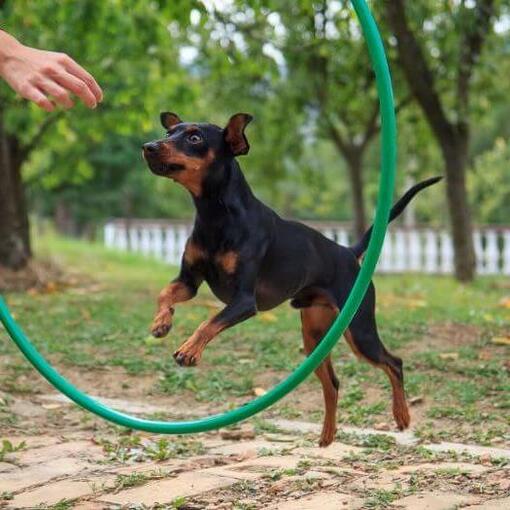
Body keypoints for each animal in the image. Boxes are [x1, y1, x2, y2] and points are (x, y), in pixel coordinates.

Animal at [141, 113, 440, 448]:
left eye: (194, 138)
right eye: (169, 132)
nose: (149, 146)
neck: (216, 215)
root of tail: (348, 252)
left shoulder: (244, 301)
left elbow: (209, 322)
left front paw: (189, 350)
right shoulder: (189, 281)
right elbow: (165, 293)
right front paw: (161, 322)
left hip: (359, 330)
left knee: (394, 362)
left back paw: (402, 415)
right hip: (314, 338)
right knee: (333, 383)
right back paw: (327, 435)